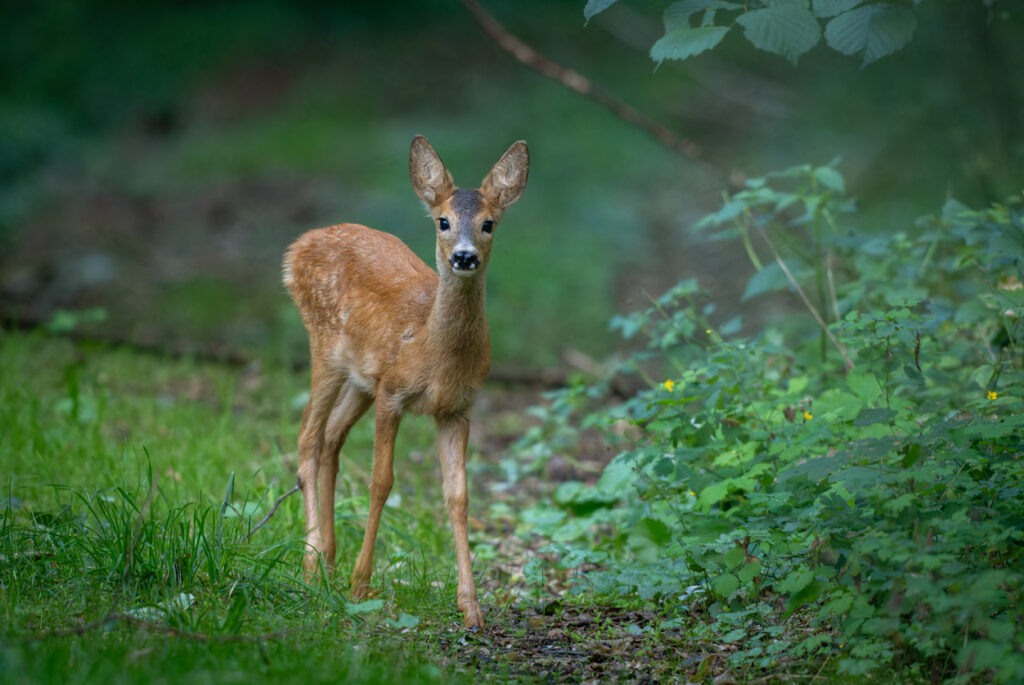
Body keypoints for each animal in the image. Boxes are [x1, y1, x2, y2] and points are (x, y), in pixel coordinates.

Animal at [281, 135, 529, 629]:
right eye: (443, 221)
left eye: (489, 223)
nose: (464, 256)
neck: (433, 352)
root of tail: (298, 246)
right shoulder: (392, 393)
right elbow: (382, 482)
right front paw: (360, 587)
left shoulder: (457, 409)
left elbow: (459, 496)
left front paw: (471, 608)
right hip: (325, 348)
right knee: (307, 438)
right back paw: (313, 564)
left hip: (359, 379)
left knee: (331, 438)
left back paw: (329, 559)